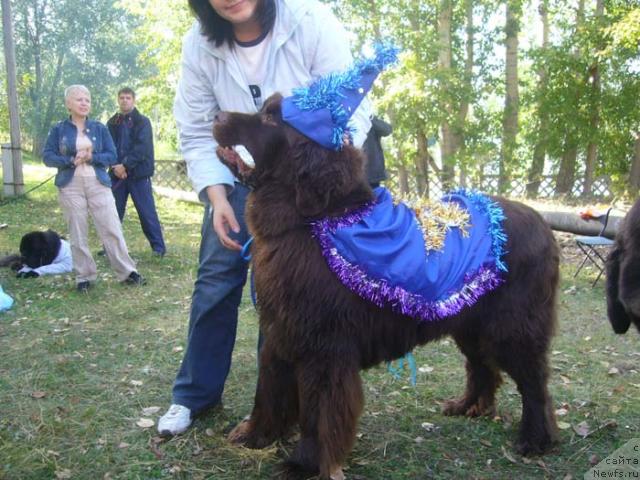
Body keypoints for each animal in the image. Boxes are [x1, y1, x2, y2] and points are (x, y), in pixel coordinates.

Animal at [215, 95, 560, 478]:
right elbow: (269, 390)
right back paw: (468, 406)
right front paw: (255, 436)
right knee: (483, 367)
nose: (216, 114)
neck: (310, 221)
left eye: (271, 119)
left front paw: (305, 463)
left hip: (512, 328)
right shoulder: (281, 333)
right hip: (469, 322)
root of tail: (544, 224)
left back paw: (535, 440)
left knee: (534, 383)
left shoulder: (324, 349)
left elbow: (318, 413)